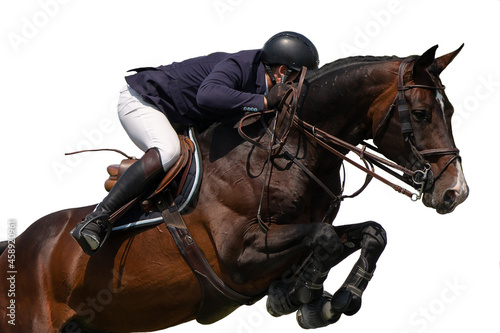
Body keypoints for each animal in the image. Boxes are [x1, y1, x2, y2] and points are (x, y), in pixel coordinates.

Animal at [0, 44, 468, 332]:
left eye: (450, 110)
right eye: (422, 114)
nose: (455, 192)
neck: (289, 149)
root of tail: (14, 248)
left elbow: (370, 233)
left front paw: (326, 298)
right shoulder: (239, 255)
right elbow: (325, 238)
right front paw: (304, 295)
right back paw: (93, 229)